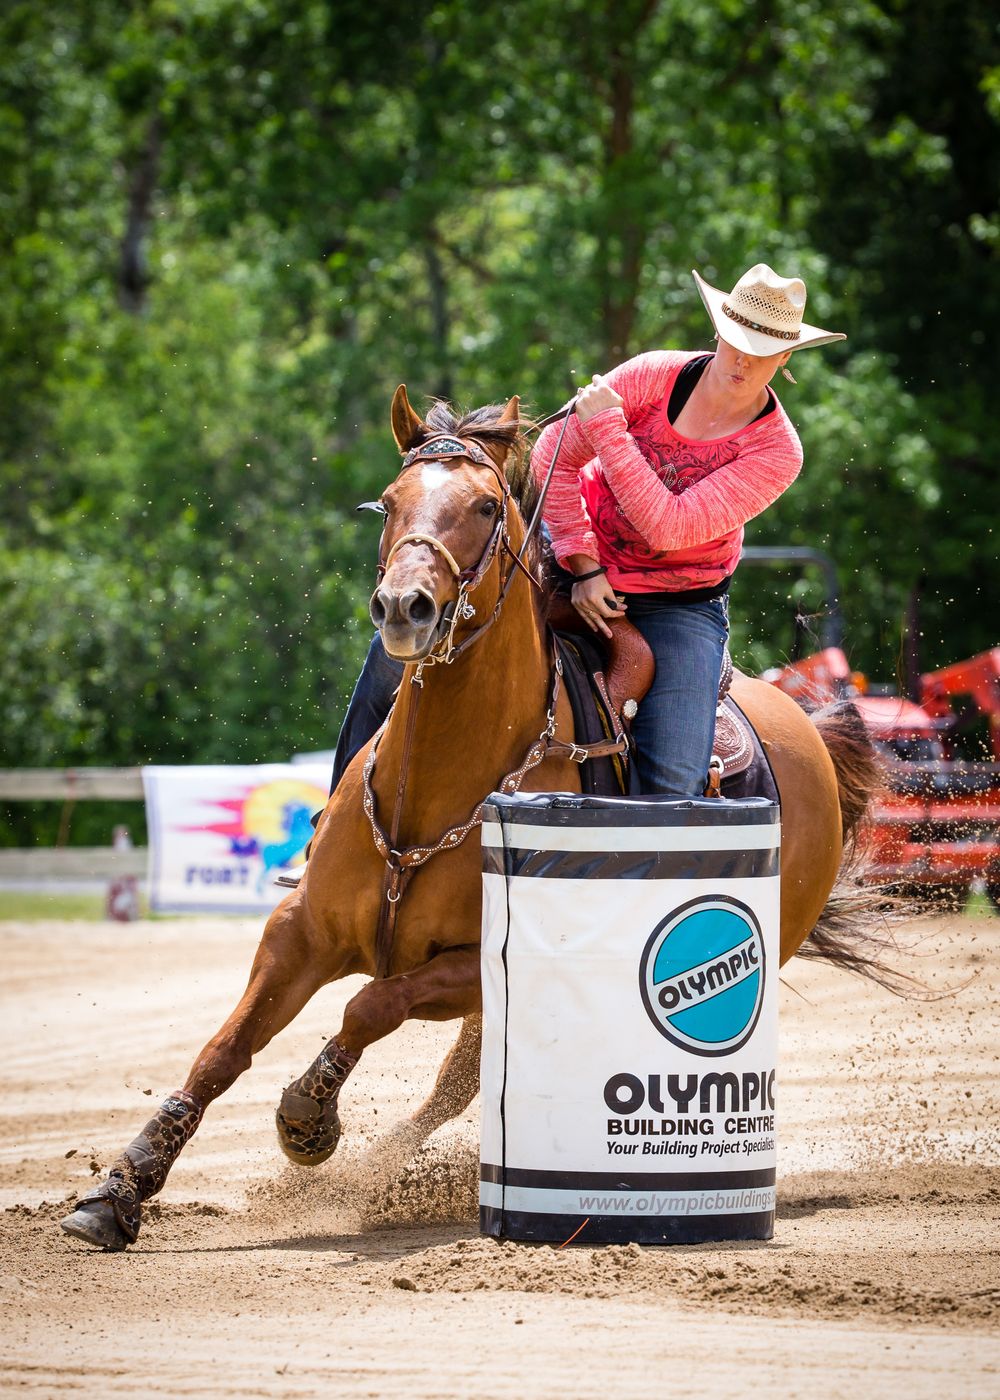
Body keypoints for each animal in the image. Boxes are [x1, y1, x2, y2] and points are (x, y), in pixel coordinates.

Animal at [60, 386, 880, 1251]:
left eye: (487, 505)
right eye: (388, 502)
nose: (404, 607)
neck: (429, 792)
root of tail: (807, 730)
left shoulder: (473, 966)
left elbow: (371, 1005)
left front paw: (309, 1119)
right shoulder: (300, 930)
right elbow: (224, 1050)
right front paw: (117, 1191)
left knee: (455, 1082)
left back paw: (378, 1173)